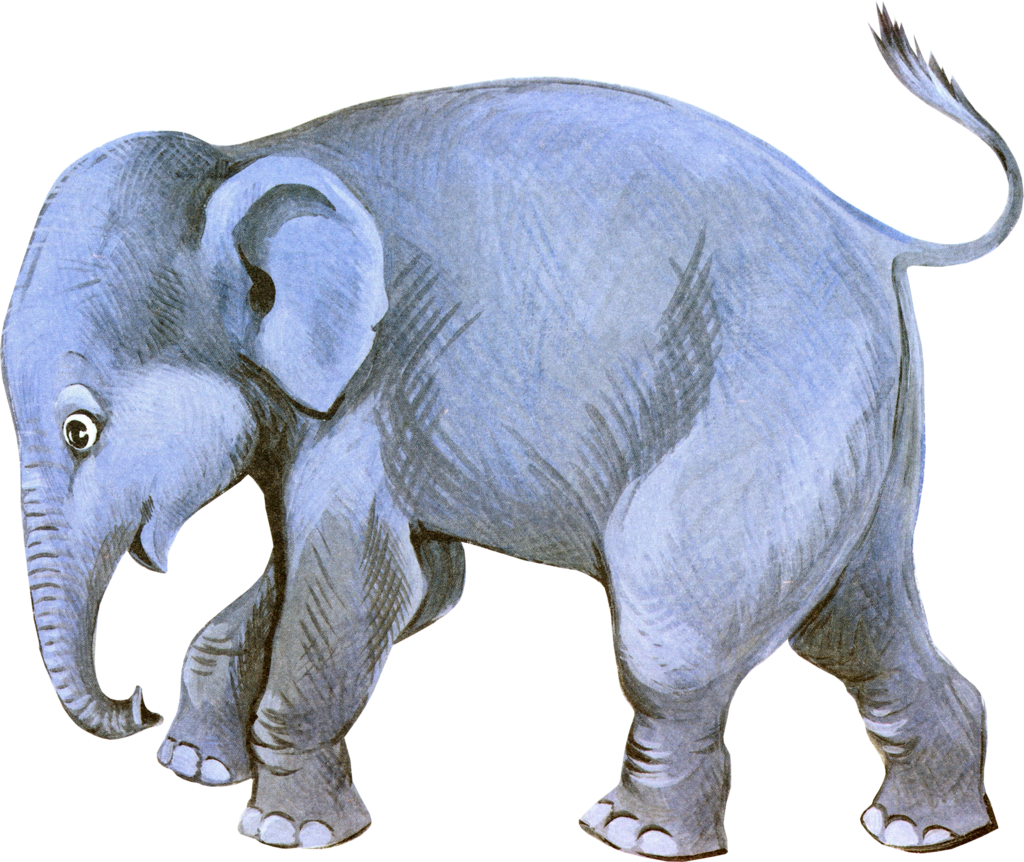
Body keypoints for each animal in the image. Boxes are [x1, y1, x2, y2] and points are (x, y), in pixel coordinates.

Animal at [2, 3, 1017, 856]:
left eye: (81, 429)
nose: (132, 701)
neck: (241, 157)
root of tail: (872, 231)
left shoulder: (374, 393)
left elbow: (364, 587)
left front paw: (285, 831)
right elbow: (395, 583)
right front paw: (197, 769)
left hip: (774, 388)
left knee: (675, 629)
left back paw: (638, 837)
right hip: (860, 419)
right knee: (854, 619)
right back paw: (924, 828)